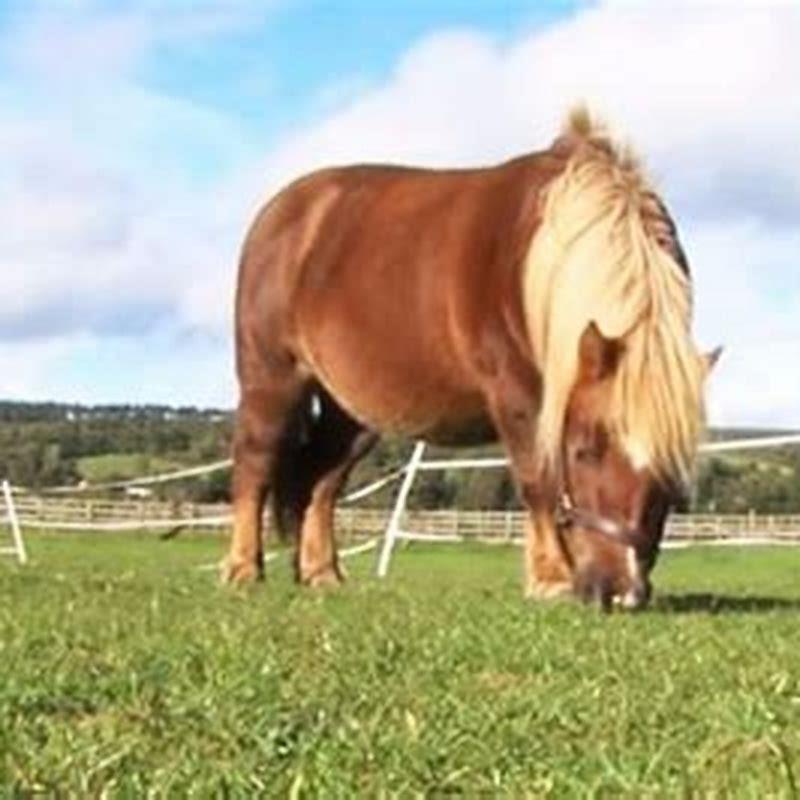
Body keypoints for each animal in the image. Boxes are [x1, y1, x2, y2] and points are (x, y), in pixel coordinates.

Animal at [221, 107, 719, 609]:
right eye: (585, 451)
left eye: (670, 469)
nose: (621, 593)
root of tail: (283, 211)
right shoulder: (519, 395)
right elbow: (538, 480)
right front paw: (551, 579)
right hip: (272, 378)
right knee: (254, 462)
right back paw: (243, 569)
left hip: (352, 412)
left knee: (323, 478)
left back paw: (322, 573)